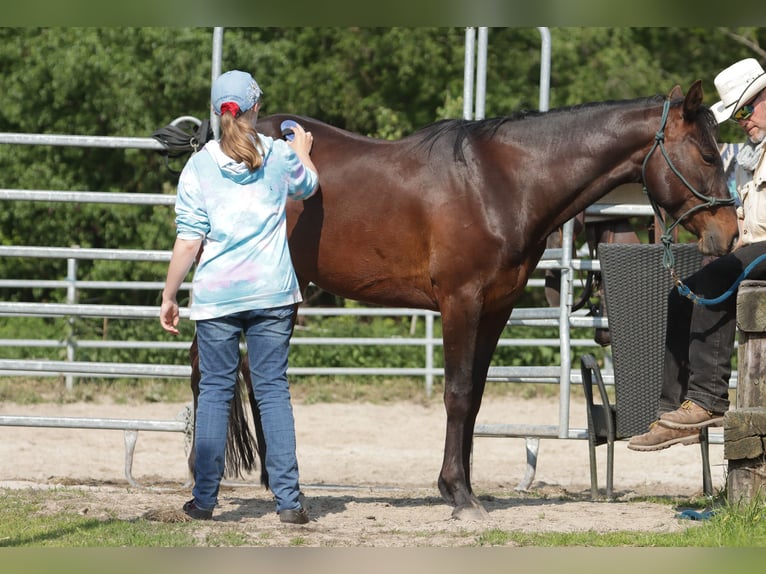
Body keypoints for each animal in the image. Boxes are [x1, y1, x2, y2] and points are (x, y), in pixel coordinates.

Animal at [189, 81, 740, 520]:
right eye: (708, 156)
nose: (730, 233)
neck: (502, 182)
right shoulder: (461, 302)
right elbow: (455, 394)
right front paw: (458, 495)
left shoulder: (496, 308)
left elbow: (473, 398)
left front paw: (461, 488)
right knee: (208, 372)